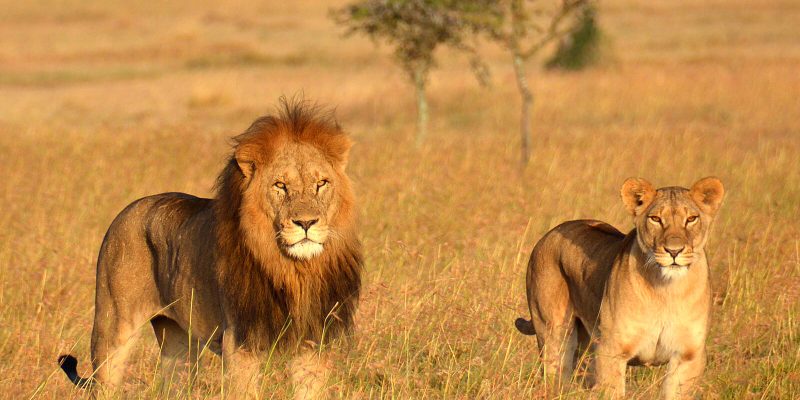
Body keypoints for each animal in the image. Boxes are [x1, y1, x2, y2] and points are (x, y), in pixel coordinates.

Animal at [57, 98, 364, 398]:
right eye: (280, 185)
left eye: (321, 183)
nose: (306, 222)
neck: (294, 270)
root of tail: (128, 209)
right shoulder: (239, 342)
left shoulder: (313, 342)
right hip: (111, 330)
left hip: (178, 344)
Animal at [516, 177, 728, 398]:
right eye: (656, 219)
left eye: (691, 219)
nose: (674, 251)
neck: (666, 290)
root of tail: (549, 233)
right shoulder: (611, 351)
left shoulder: (688, 356)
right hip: (554, 334)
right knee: (556, 376)